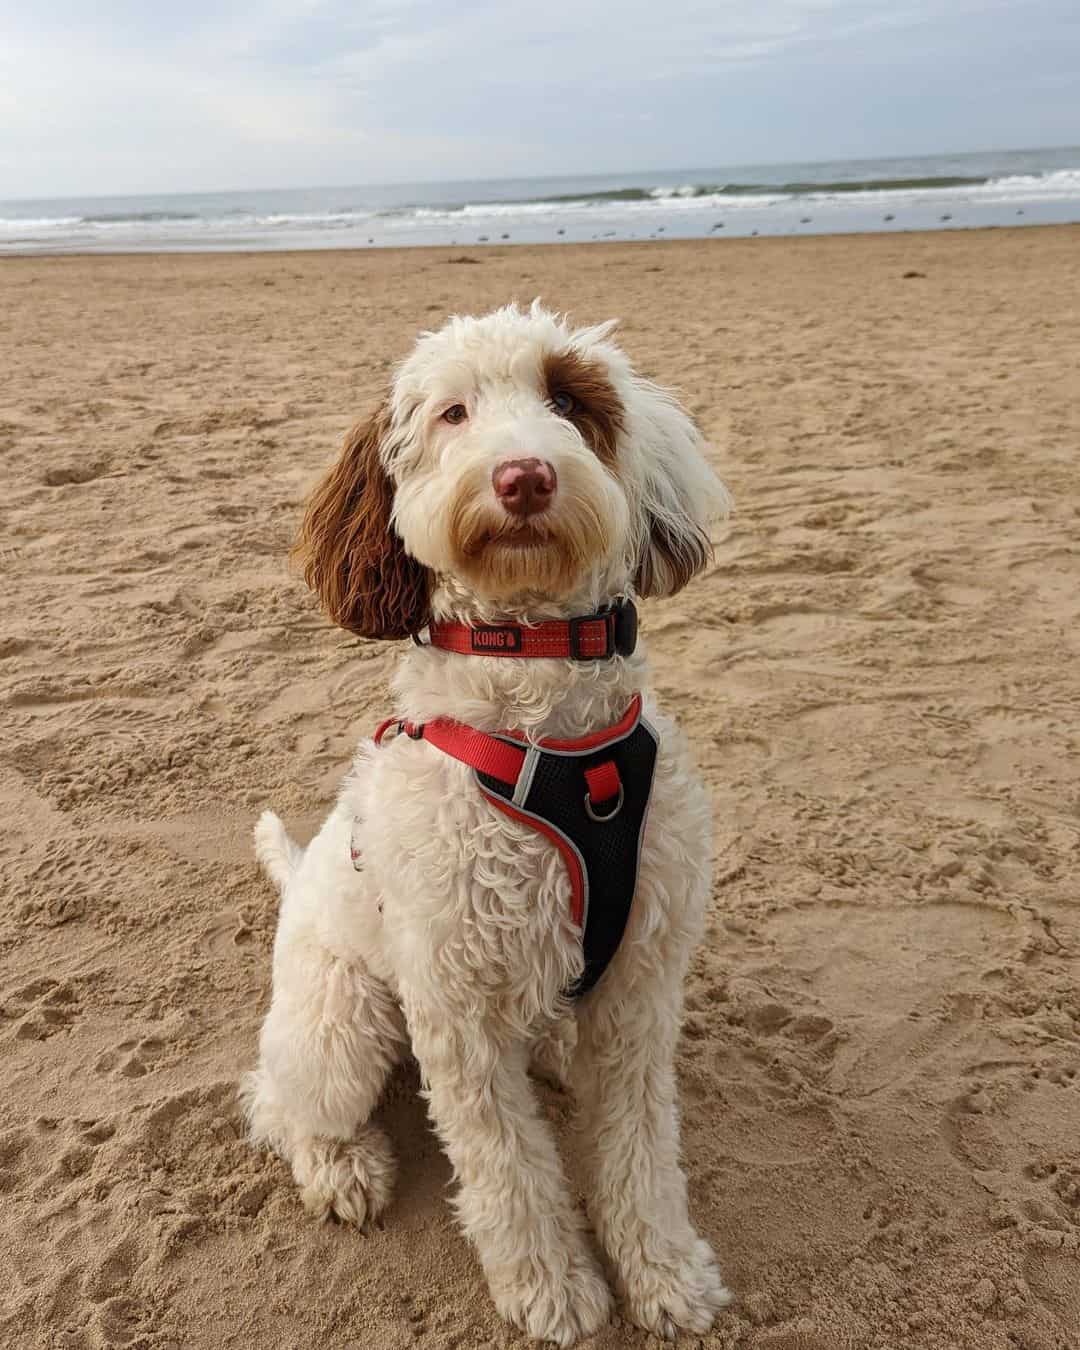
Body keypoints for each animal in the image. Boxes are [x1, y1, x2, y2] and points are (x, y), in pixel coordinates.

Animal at [244, 301, 734, 1344]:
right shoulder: (453, 1000)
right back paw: (343, 1167)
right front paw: (553, 1288)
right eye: (453, 414)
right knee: (279, 1102)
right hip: (341, 1023)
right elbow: (507, 1165)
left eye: (570, 401)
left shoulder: (640, 981)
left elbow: (640, 1145)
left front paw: (665, 1272)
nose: (524, 476)